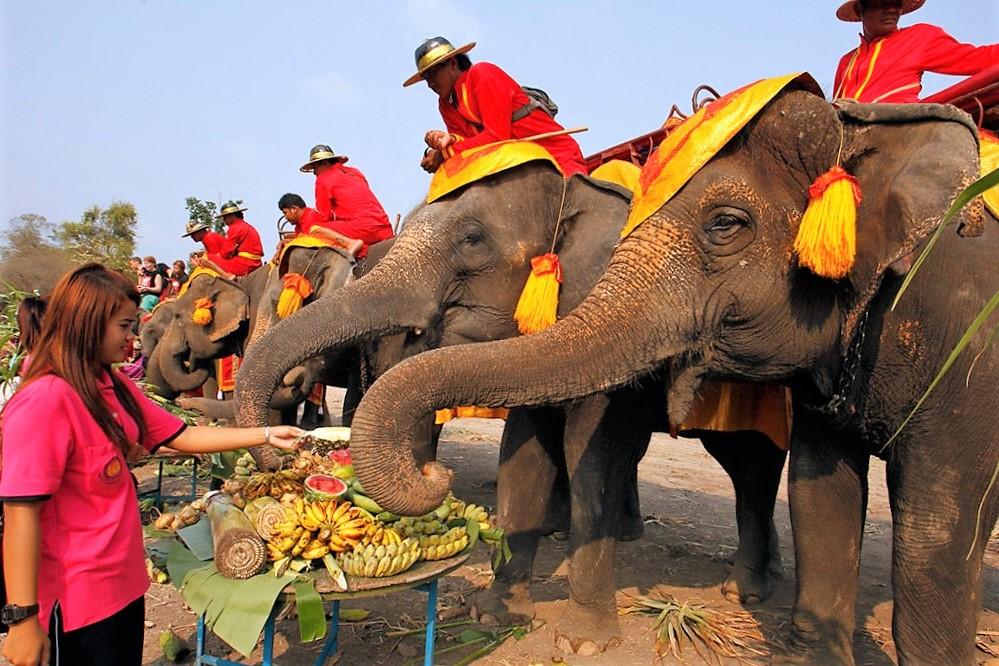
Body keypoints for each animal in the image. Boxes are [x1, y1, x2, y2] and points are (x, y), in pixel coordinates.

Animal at [234, 159, 789, 651]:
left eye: (472, 239)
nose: (437, 473)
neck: (577, 187)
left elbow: (592, 454)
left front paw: (582, 643)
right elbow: (524, 449)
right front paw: (493, 614)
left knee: (751, 467)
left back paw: (746, 591)